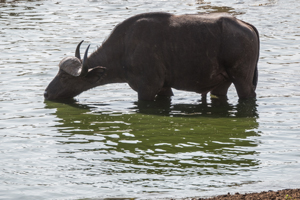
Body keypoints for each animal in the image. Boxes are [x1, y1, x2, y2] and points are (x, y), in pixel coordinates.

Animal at [44, 11, 258, 101]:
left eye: (64, 77)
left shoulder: (147, 88)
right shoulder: (164, 88)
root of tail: (246, 25)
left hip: (242, 80)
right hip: (222, 84)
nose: (46, 93)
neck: (124, 48)